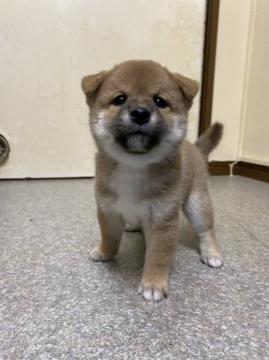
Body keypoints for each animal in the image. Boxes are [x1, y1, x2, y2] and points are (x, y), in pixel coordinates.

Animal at [81, 59, 222, 300]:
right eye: (120, 99)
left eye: (160, 101)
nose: (140, 113)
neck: (133, 167)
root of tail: (194, 147)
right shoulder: (108, 211)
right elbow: (109, 238)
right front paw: (104, 252)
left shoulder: (163, 221)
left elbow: (157, 257)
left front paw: (153, 284)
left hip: (197, 202)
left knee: (206, 230)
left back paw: (211, 252)